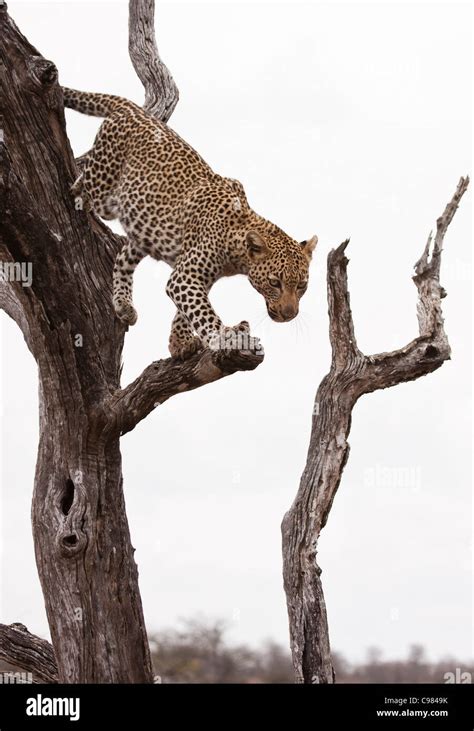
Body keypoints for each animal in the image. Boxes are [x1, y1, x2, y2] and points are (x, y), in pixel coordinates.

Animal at [61, 88, 316, 360]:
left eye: (302, 285)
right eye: (274, 282)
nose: (290, 315)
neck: (237, 248)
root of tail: (134, 110)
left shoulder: (192, 274)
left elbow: (186, 311)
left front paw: (179, 342)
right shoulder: (186, 274)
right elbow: (202, 311)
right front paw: (225, 337)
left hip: (145, 230)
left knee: (122, 257)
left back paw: (123, 304)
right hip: (105, 192)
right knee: (88, 183)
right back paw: (78, 189)